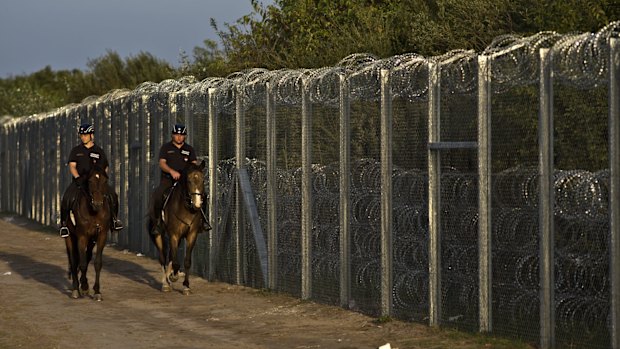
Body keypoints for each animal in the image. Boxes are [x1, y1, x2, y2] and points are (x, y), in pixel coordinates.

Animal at [65, 163, 111, 300]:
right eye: (90, 181)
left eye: (105, 180)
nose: (97, 203)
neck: (93, 212)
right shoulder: (81, 236)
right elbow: (83, 263)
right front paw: (84, 287)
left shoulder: (101, 235)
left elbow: (97, 263)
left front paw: (97, 292)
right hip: (69, 236)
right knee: (74, 260)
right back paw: (76, 289)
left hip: (91, 239)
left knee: (87, 255)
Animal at [148, 160, 207, 294]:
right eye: (189, 180)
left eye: (203, 180)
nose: (197, 204)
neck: (186, 208)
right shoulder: (174, 235)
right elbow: (175, 262)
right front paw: (173, 277)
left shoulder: (191, 235)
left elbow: (187, 261)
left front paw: (186, 286)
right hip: (158, 235)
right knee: (163, 257)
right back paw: (166, 283)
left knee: (170, 255)